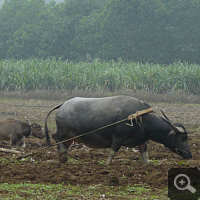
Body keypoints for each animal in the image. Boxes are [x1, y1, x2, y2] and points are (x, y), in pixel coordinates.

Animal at [45, 95, 192, 164]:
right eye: (182, 138)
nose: (190, 155)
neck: (140, 118)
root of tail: (63, 104)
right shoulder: (118, 137)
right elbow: (112, 153)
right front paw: (106, 165)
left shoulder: (142, 141)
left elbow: (145, 156)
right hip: (64, 132)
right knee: (55, 136)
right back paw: (63, 155)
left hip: (70, 137)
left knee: (63, 143)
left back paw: (62, 157)